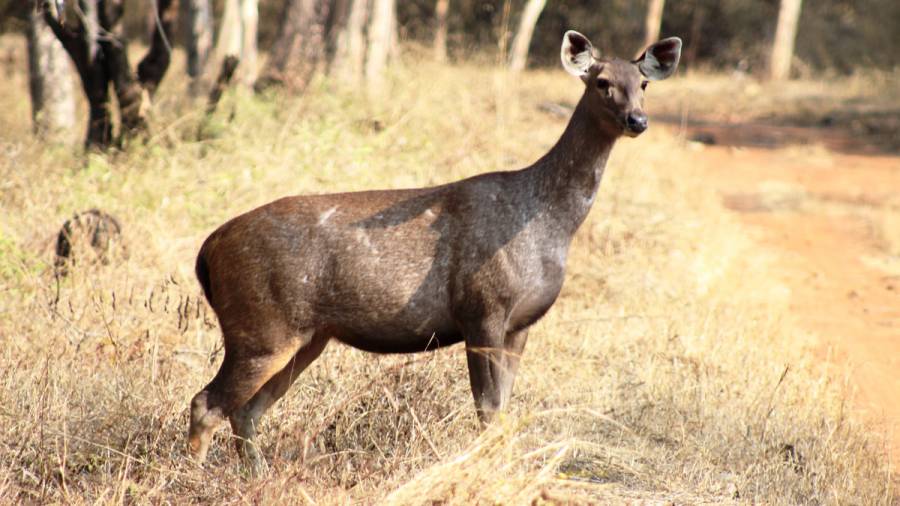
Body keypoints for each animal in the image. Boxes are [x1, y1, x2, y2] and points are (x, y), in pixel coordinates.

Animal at [190, 30, 684, 474]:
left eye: (643, 83)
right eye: (601, 82)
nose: (637, 120)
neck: (549, 225)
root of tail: (208, 249)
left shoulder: (521, 323)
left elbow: (504, 406)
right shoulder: (483, 306)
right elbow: (488, 408)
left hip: (307, 335)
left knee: (244, 410)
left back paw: (255, 475)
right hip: (262, 324)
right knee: (207, 403)